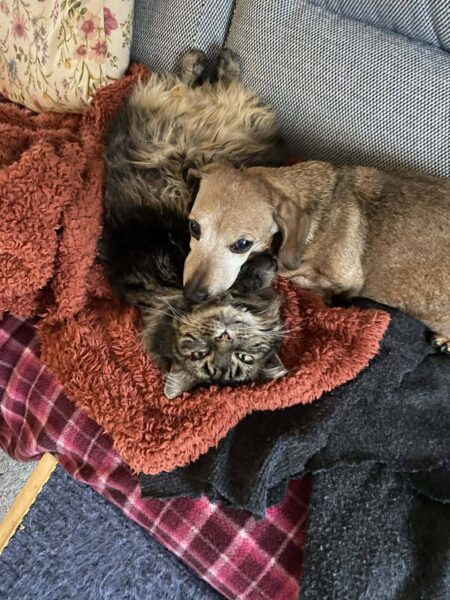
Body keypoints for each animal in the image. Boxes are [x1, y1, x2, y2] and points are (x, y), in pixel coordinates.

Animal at [100, 48, 287, 398]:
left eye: (245, 356)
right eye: (199, 355)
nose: (225, 334)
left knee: (206, 81)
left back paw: (210, 60)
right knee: (208, 82)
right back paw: (209, 61)